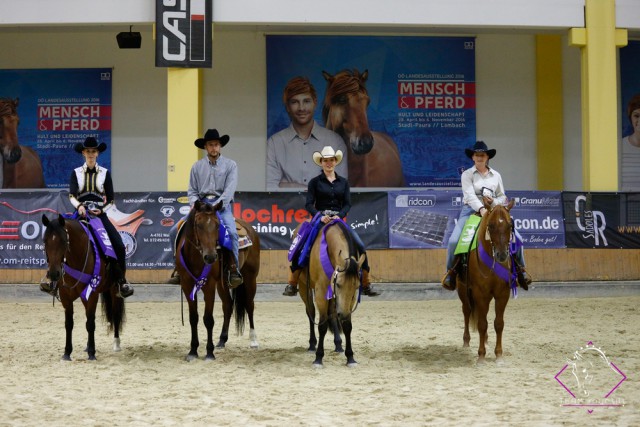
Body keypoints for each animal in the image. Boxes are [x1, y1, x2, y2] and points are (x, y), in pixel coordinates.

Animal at [41, 214, 126, 362]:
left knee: (115, 314)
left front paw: (92, 353)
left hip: (115, 291)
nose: (53, 274)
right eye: (45, 241)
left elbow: (90, 323)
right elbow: (69, 324)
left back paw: (116, 344)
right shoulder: (66, 296)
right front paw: (67, 353)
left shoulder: (91, 294)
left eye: (64, 241)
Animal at [175, 201, 260, 362]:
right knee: (228, 305)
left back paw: (253, 340)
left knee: (249, 305)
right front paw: (193, 351)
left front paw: (209, 352)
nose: (210, 257)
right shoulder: (187, 284)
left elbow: (208, 319)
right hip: (222, 284)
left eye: (217, 225)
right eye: (198, 224)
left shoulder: (209, 285)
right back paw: (222, 340)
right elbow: (193, 318)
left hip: (250, 277)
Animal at [296, 219, 364, 370]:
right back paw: (312, 345)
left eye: (356, 286)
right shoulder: (321, 292)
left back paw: (338, 344)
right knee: (311, 312)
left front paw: (350, 357)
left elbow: (347, 325)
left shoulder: (348, 300)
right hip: (304, 287)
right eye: (338, 284)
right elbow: (322, 325)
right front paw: (318, 358)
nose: (343, 314)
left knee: (332, 314)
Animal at [456, 200, 520, 364]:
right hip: (463, 291)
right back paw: (466, 342)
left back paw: (485, 340)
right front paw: (481, 355)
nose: (502, 255)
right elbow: (482, 324)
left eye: (510, 225)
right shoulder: (480, 293)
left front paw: (498, 354)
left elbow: (498, 323)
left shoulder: (502, 294)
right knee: (467, 311)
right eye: (490, 225)